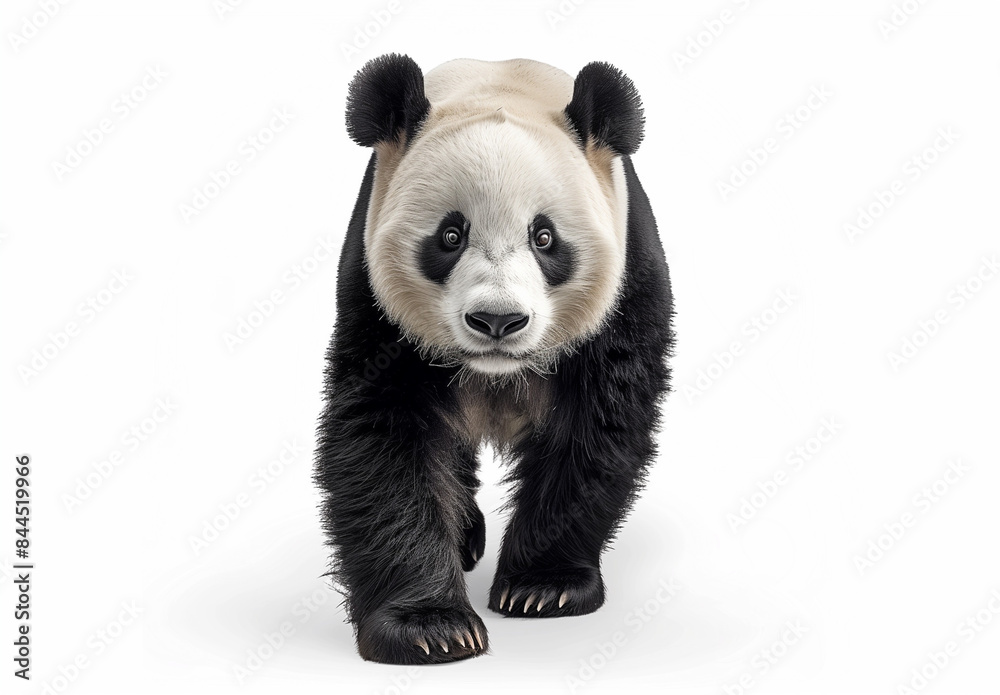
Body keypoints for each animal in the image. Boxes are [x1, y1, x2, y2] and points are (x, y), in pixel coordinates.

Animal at [315, 54, 674, 664]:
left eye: (545, 238)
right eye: (450, 235)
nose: (498, 321)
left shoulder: (628, 277)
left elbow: (596, 425)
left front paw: (542, 587)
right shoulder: (373, 298)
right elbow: (382, 436)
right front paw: (430, 627)